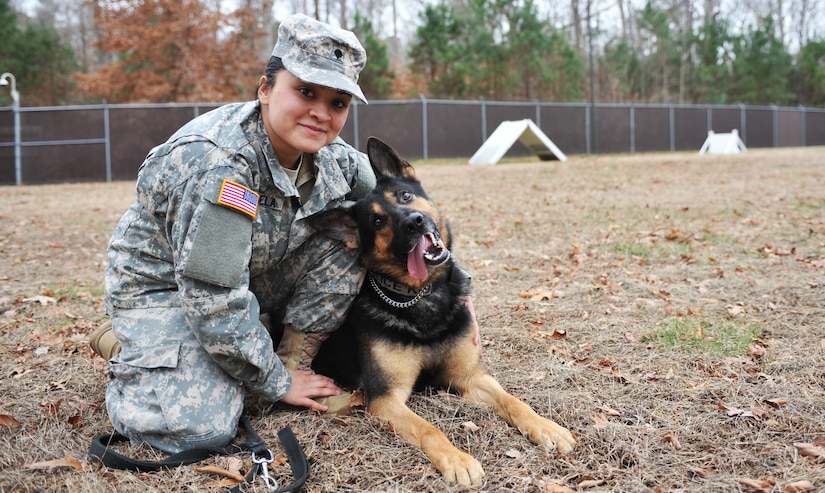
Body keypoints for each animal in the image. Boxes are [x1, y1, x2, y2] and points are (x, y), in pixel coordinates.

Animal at [312, 137, 576, 484]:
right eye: (378, 221)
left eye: (405, 196)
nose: (414, 221)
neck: (420, 295)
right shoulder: (386, 399)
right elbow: (429, 429)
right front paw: (457, 459)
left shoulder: (468, 376)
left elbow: (514, 401)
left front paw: (547, 428)